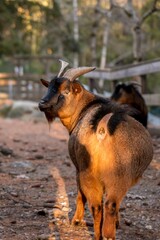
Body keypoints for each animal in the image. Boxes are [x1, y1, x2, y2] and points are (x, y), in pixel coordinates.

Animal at [38, 61, 152, 240]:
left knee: (97, 206)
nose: (42, 103)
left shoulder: (78, 168)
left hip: (91, 173)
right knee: (108, 205)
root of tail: (103, 126)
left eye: (66, 90)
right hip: (117, 175)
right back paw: (105, 233)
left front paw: (77, 221)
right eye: (49, 86)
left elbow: (80, 195)